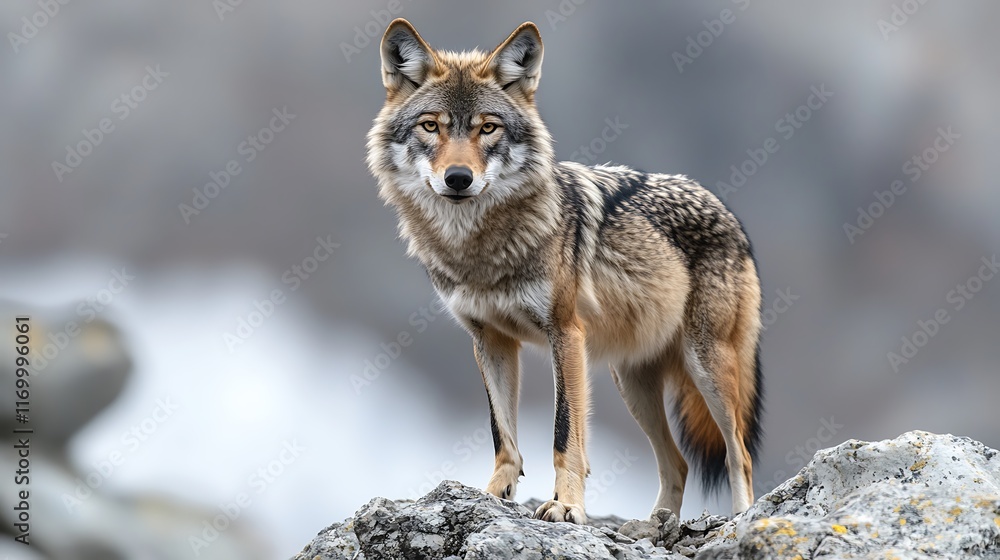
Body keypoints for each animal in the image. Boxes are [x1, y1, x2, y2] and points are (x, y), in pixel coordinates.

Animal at [366, 18, 764, 523]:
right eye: (430, 126)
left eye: (488, 128)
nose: (458, 178)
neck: (480, 251)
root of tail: (729, 213)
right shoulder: (490, 341)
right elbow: (503, 435)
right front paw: (491, 496)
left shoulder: (566, 334)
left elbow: (563, 433)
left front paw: (567, 507)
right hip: (631, 383)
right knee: (678, 462)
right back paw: (652, 527)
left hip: (705, 366)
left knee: (739, 454)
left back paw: (743, 519)